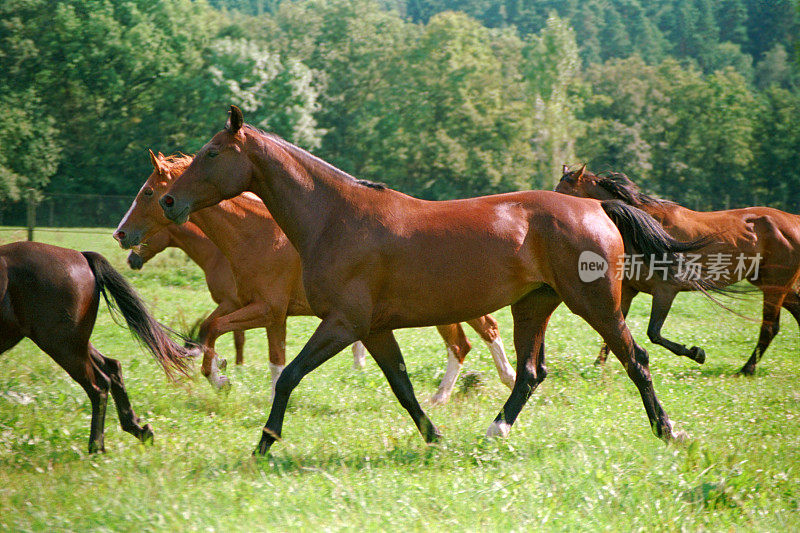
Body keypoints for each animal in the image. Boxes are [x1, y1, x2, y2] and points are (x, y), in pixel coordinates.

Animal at [0, 239, 189, 450]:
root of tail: (81, 256)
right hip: (75, 341)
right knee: (112, 366)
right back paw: (138, 430)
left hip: (62, 344)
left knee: (99, 386)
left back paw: (96, 446)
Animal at [115, 152, 516, 402]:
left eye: (148, 192)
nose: (121, 236)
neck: (257, 234)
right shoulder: (256, 308)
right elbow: (221, 334)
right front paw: (226, 375)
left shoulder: (268, 310)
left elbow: (239, 340)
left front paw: (230, 380)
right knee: (470, 339)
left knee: (473, 338)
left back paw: (487, 384)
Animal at [161, 105, 720, 454]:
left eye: (212, 153)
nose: (169, 201)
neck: (336, 218)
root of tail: (596, 207)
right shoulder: (373, 329)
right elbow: (404, 389)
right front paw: (436, 439)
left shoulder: (342, 324)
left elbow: (290, 376)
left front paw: (263, 444)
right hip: (533, 305)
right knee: (530, 372)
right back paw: (494, 432)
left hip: (596, 304)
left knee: (635, 359)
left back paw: (669, 431)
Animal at [556, 166, 800, 374]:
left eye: (563, 193)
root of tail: (793, 220)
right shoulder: (627, 290)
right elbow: (615, 328)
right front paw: (597, 366)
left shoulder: (666, 290)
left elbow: (653, 333)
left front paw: (696, 353)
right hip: (774, 285)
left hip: (775, 285)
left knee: (769, 328)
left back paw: (745, 370)